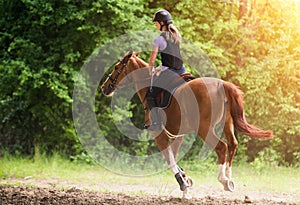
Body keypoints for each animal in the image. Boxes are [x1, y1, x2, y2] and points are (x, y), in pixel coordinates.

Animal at [101, 50, 274, 199]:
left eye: (117, 67)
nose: (104, 87)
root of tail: (221, 85)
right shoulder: (179, 134)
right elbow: (174, 157)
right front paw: (186, 183)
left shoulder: (159, 134)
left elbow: (170, 160)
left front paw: (184, 184)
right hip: (227, 123)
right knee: (232, 144)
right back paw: (229, 179)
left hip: (204, 128)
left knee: (221, 147)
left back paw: (223, 180)